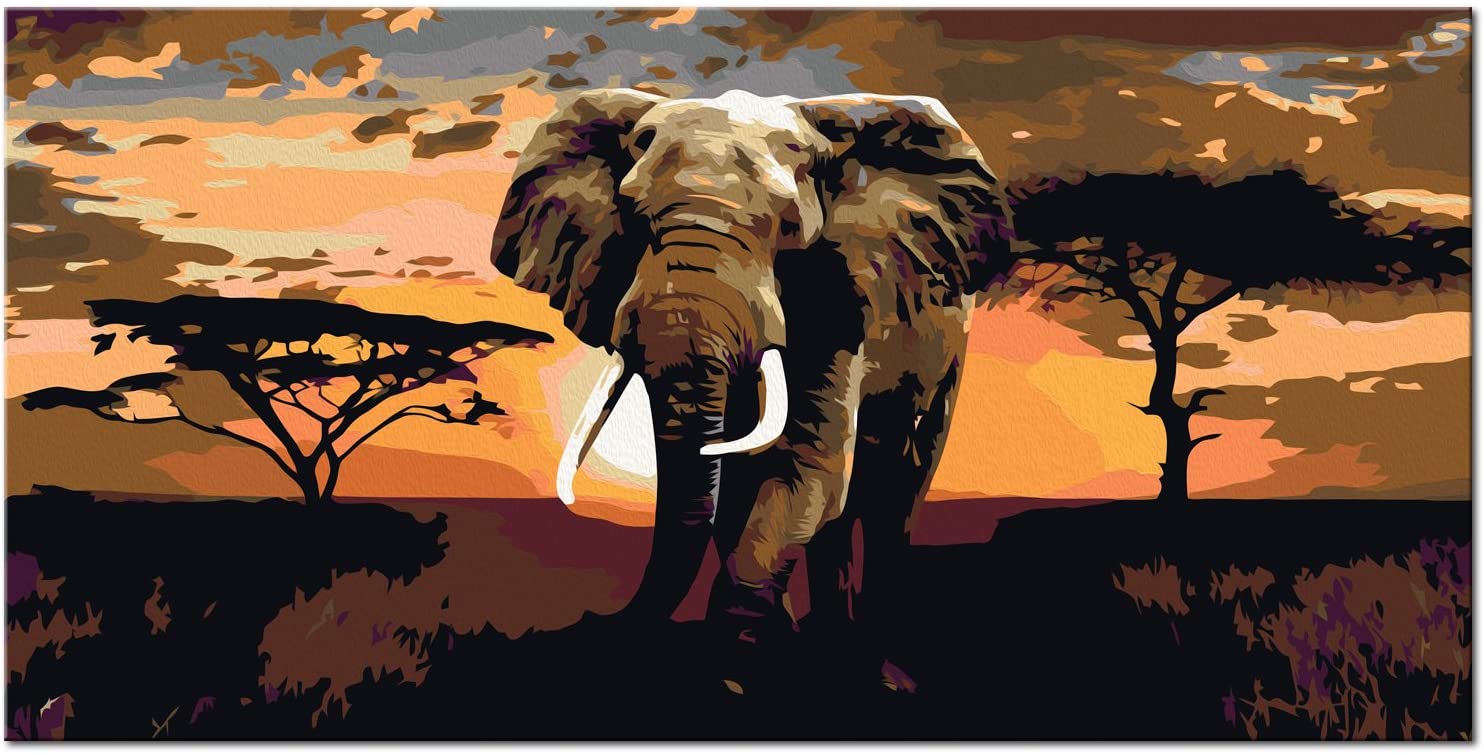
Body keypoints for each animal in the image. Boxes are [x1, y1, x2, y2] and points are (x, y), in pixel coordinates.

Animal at [491, 88, 1013, 657]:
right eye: (631, 216)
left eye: (789, 230)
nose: (597, 622)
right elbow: (742, 474)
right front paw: (765, 635)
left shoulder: (842, 298)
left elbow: (804, 461)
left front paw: (741, 644)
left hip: (948, 345)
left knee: (896, 484)